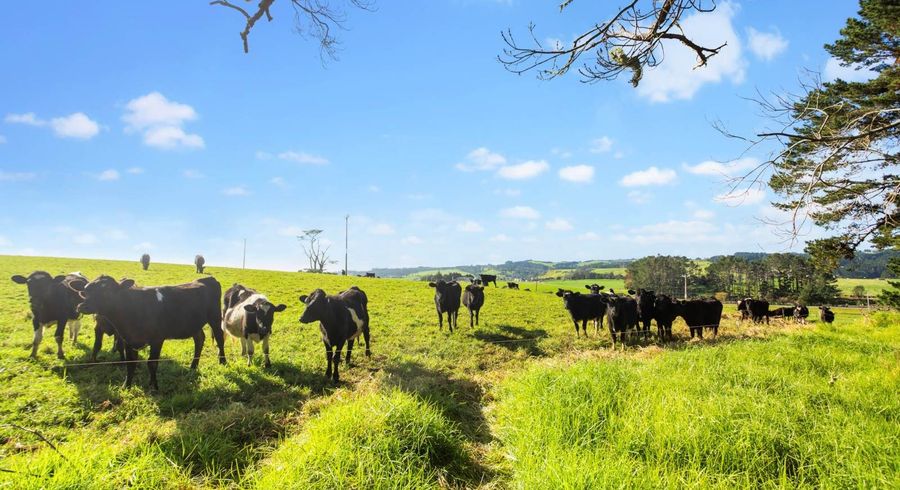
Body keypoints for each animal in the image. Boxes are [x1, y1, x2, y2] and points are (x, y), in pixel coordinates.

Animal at [71, 276, 229, 390]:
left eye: (107, 291)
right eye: (86, 291)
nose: (81, 306)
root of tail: (207, 278)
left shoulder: (157, 339)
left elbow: (152, 363)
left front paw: (154, 386)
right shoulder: (128, 339)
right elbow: (130, 363)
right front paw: (126, 386)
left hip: (215, 317)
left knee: (219, 338)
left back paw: (222, 361)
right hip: (193, 323)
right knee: (199, 339)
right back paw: (193, 366)